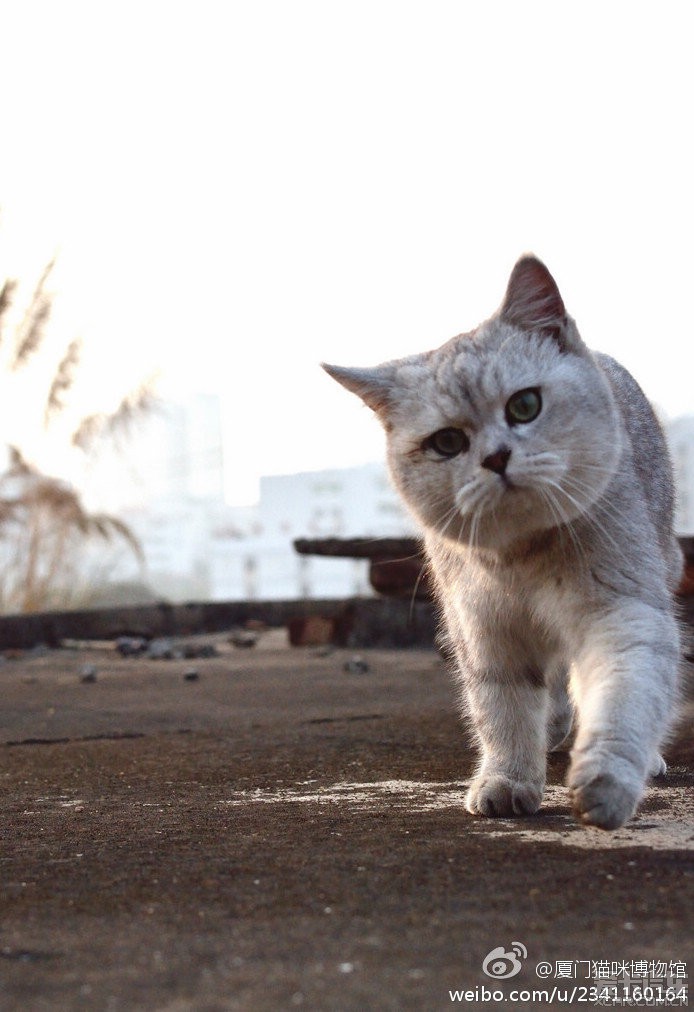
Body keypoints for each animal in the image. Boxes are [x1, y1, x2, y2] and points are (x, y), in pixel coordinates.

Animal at [325, 257, 683, 833]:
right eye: (447, 442)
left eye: (525, 405)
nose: (496, 458)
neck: (523, 560)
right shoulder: (485, 634)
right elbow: (504, 713)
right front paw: (508, 780)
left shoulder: (623, 611)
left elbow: (624, 696)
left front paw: (606, 781)